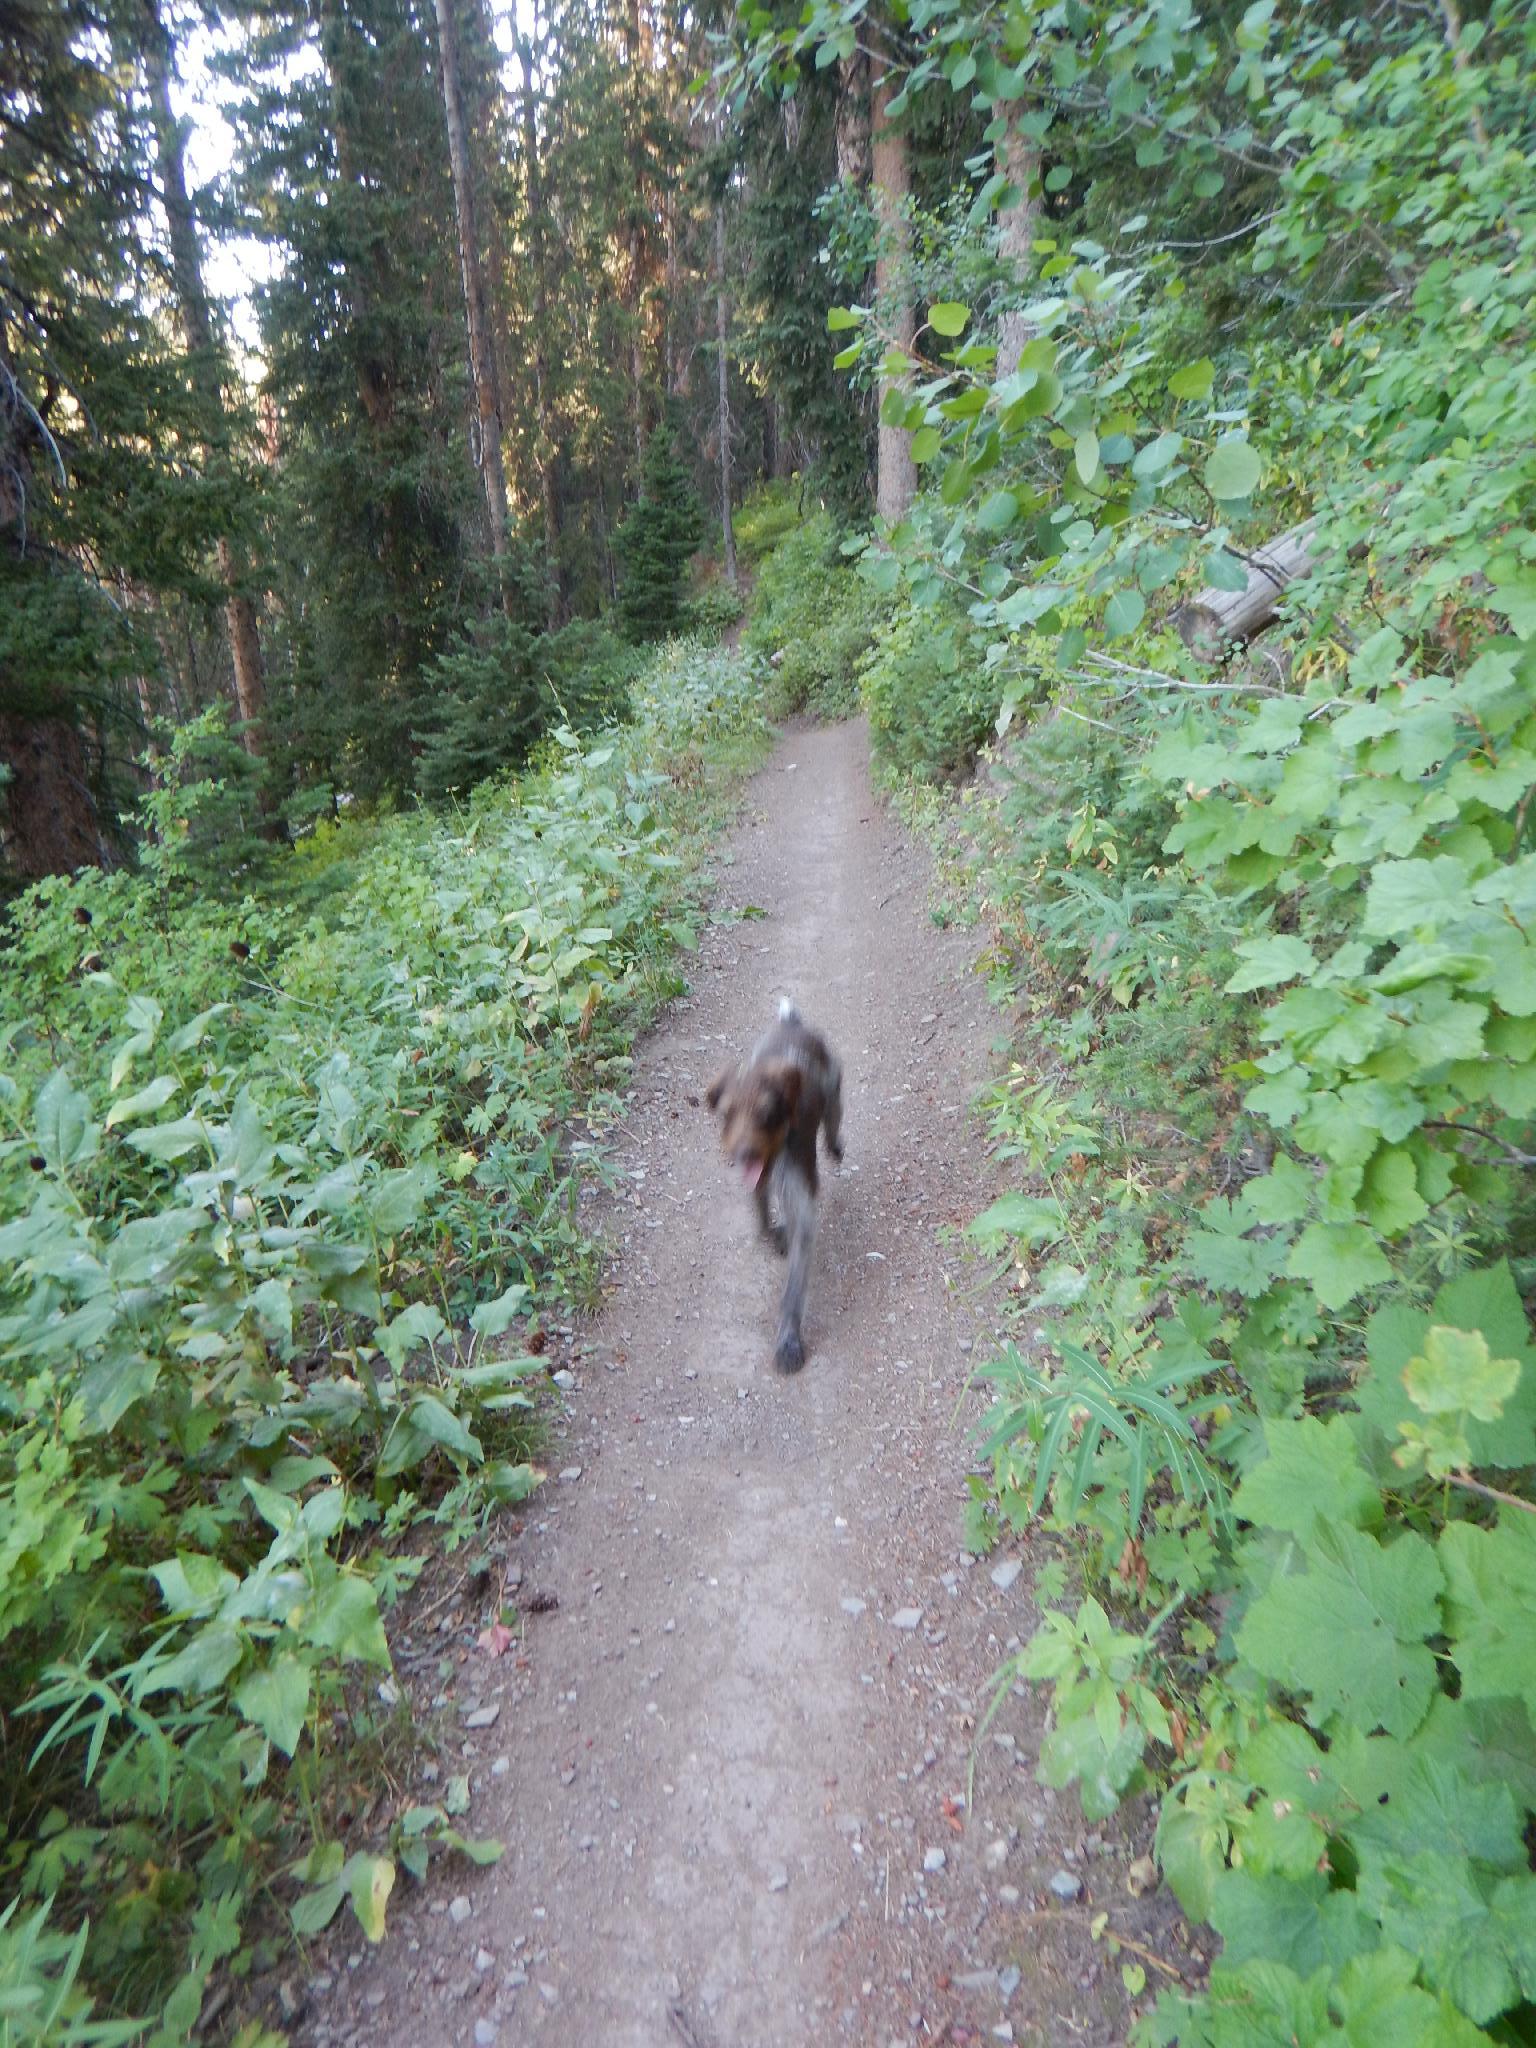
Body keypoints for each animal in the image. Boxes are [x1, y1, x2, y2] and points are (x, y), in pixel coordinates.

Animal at [705, 999, 844, 1373]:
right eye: (728, 1114)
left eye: (766, 1114)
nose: (743, 1153)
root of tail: (791, 1023)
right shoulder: (757, 1184)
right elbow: (761, 1217)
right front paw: (772, 1234)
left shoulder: (803, 1213)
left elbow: (793, 1289)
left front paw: (788, 1340)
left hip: (835, 1088)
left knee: (834, 1117)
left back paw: (834, 1143)